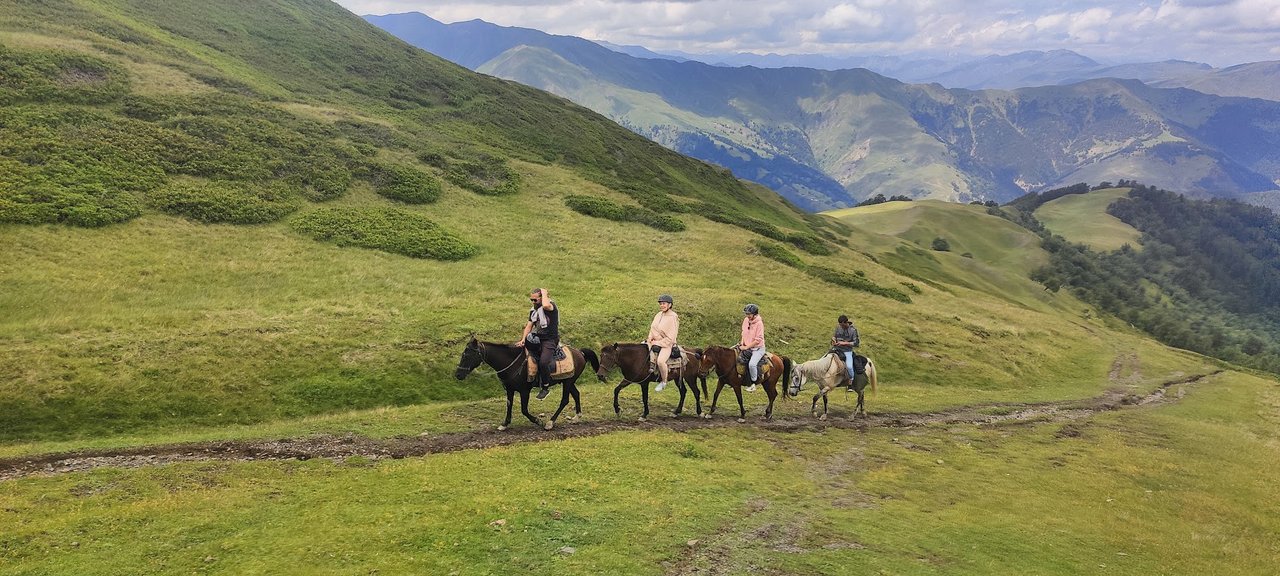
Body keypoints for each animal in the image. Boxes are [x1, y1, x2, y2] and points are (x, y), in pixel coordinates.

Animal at [455, 335, 599, 430]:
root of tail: (580, 352)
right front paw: (505, 424)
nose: (458, 375)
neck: (512, 362)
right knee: (576, 394)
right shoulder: (509, 389)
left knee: (565, 400)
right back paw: (576, 417)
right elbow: (509, 405)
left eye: (467, 355)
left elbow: (524, 410)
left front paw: (538, 421)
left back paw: (550, 423)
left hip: (568, 382)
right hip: (568, 381)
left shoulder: (525, 391)